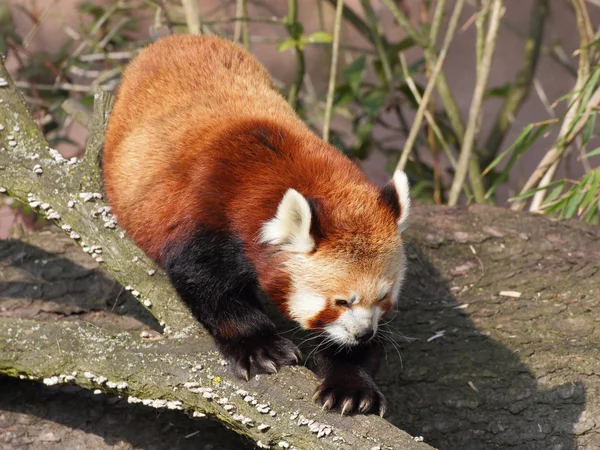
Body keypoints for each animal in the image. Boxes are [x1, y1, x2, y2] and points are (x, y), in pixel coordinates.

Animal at [104, 34, 412, 414]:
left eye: (383, 296)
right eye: (341, 301)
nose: (363, 334)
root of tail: (178, 38)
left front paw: (350, 382)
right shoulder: (208, 212)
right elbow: (208, 285)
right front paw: (258, 346)